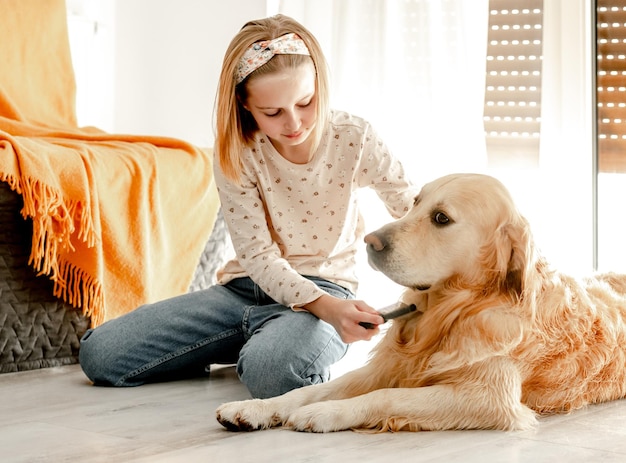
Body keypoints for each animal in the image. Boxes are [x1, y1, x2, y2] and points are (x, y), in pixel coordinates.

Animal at [213, 172, 624, 434]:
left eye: (441, 218)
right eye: (414, 201)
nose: (370, 241)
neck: (449, 311)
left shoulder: (489, 397)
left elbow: (386, 396)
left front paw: (325, 413)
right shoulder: (383, 366)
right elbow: (307, 390)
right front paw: (253, 408)